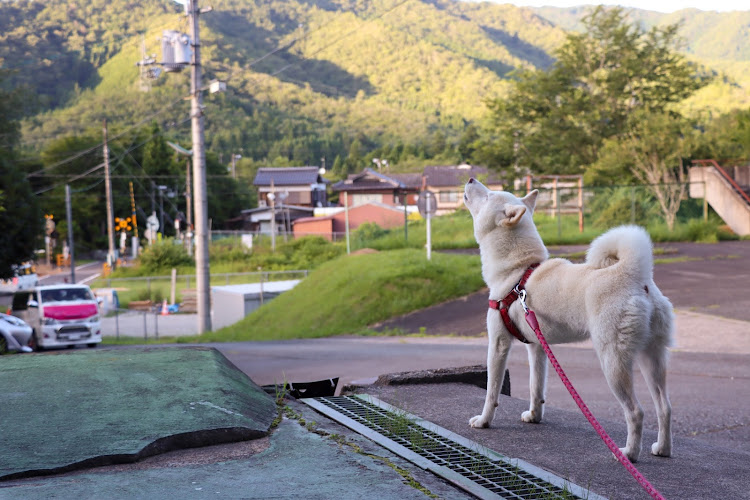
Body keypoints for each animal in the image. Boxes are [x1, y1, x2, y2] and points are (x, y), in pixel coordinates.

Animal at [464, 178, 676, 462]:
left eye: (488, 196)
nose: (470, 178)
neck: (517, 272)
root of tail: (633, 275)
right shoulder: (537, 346)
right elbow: (536, 387)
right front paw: (535, 416)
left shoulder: (498, 343)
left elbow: (492, 391)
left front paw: (484, 421)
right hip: (652, 358)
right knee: (664, 407)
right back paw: (662, 449)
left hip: (613, 362)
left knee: (636, 412)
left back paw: (629, 453)